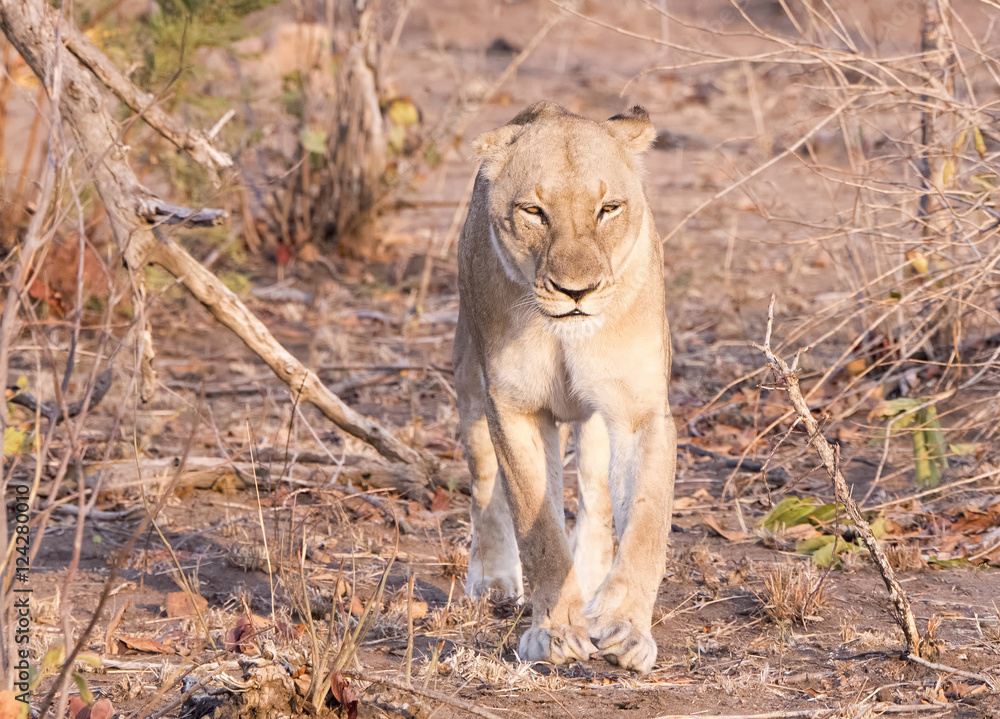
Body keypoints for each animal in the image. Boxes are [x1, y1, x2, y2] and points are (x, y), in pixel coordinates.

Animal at [452, 102, 677, 674]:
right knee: (485, 482)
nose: (577, 292)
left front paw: (625, 629)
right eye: (534, 211)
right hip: (468, 377)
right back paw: (493, 579)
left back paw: (595, 590)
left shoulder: (640, 411)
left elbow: (645, 523)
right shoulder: (515, 408)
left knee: (596, 498)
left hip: (593, 420)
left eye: (609, 208)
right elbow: (540, 530)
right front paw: (554, 633)